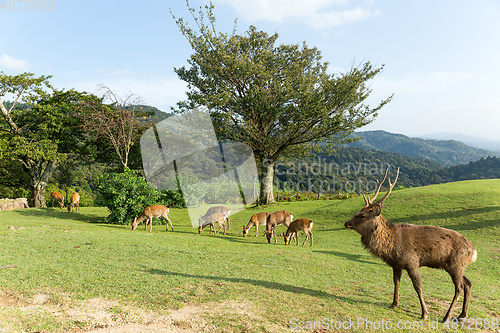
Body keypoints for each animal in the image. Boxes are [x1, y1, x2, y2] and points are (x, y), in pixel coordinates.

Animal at [344, 167, 476, 322]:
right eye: (358, 212)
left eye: (362, 216)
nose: (346, 223)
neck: (390, 246)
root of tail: (473, 251)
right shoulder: (396, 264)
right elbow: (396, 282)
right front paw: (394, 304)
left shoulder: (412, 262)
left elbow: (417, 286)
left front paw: (424, 313)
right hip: (456, 266)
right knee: (468, 283)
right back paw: (462, 314)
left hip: (456, 264)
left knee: (459, 287)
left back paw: (447, 316)